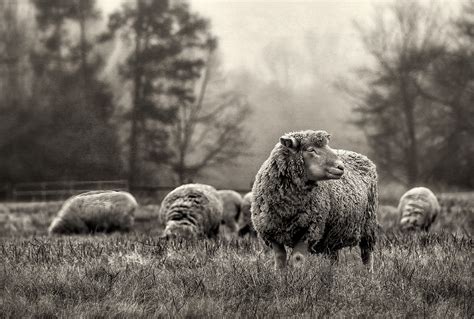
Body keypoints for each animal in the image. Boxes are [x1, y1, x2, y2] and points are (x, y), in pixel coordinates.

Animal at [252, 131, 378, 272]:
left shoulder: (310, 229)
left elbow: (298, 257)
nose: (341, 167)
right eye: (311, 150)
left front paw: (297, 276)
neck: (287, 209)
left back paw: (368, 273)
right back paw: (332, 273)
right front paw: (279, 275)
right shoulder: (271, 230)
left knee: (367, 253)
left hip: (368, 223)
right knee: (334, 255)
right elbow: (279, 258)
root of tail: (361, 156)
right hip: (333, 231)